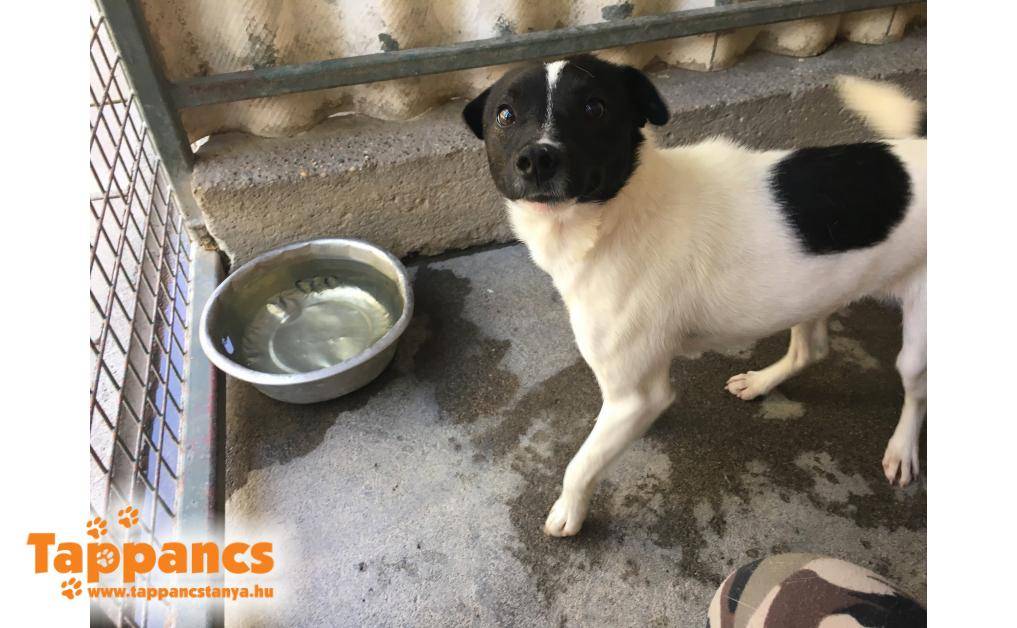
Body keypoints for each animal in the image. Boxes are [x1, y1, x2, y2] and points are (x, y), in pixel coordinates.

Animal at [462, 55, 926, 537]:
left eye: (594, 107)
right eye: (505, 114)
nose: (537, 158)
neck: (617, 215)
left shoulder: (635, 396)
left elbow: (581, 462)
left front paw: (569, 511)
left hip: (918, 339)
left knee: (916, 392)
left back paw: (902, 449)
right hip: (812, 293)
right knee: (810, 350)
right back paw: (761, 381)